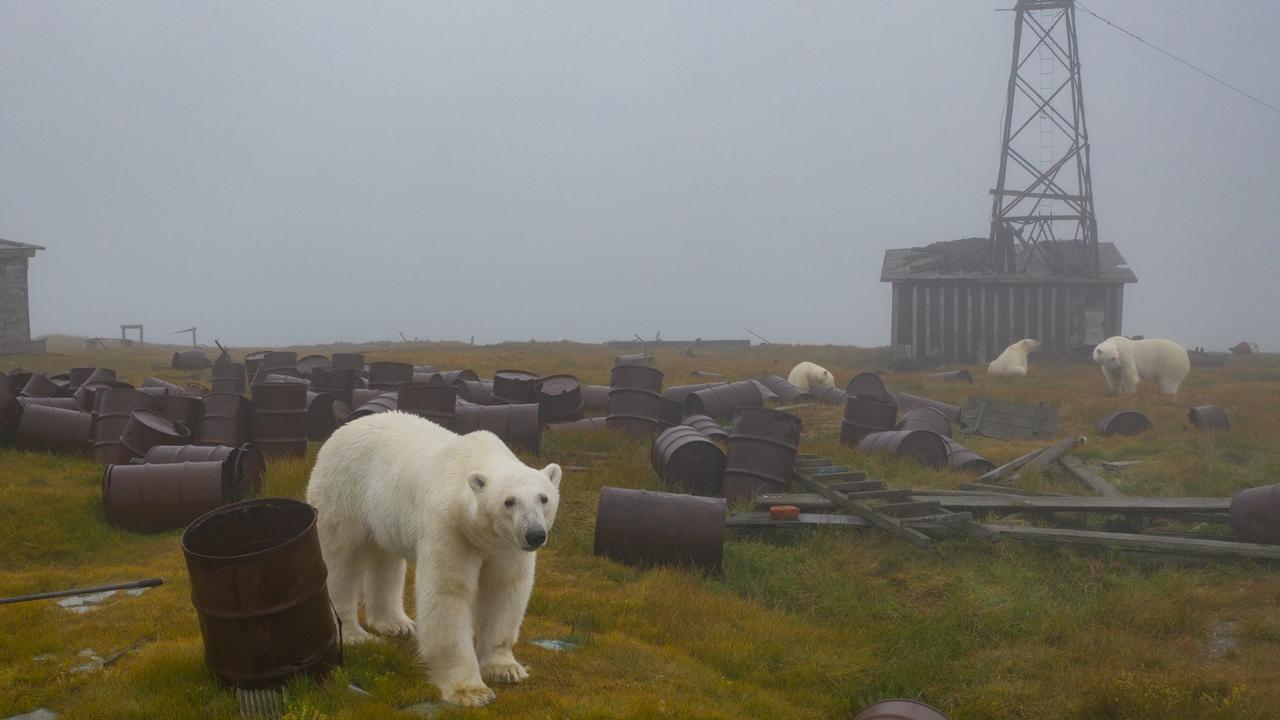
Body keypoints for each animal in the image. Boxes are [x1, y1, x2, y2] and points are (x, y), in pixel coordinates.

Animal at [304, 409, 560, 707]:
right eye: (509, 501)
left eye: (543, 498)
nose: (535, 535)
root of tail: (342, 429)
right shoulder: (449, 528)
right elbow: (448, 592)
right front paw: (470, 691)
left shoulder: (506, 546)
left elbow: (504, 588)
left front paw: (505, 669)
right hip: (343, 493)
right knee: (341, 561)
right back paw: (356, 635)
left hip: (384, 512)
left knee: (385, 559)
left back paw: (396, 624)